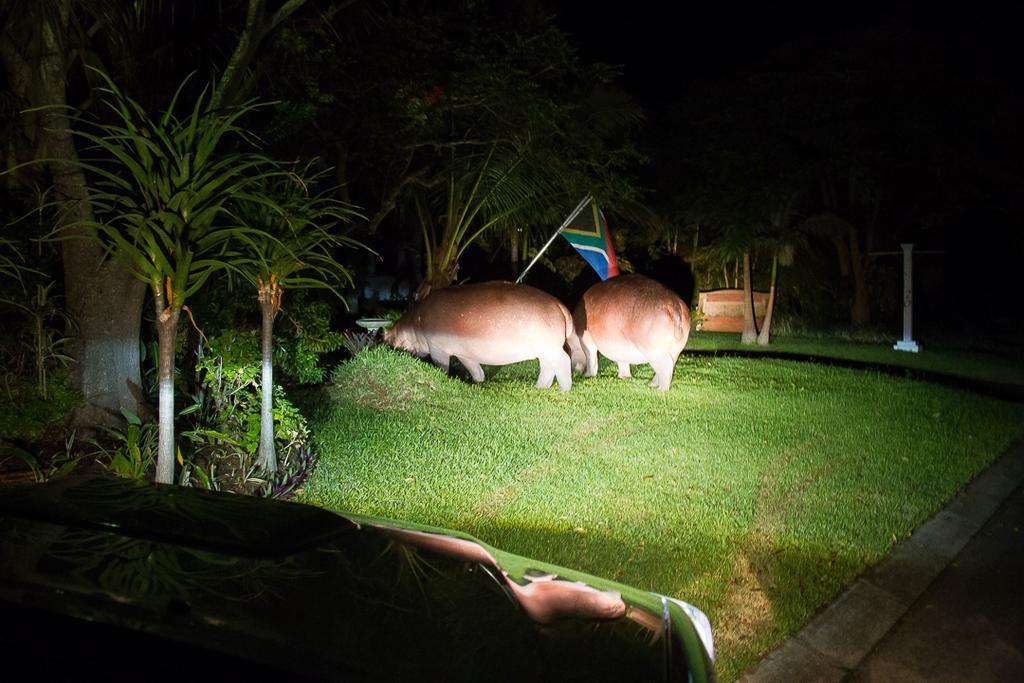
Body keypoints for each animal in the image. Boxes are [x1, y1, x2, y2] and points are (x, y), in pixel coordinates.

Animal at [382, 282, 585, 389]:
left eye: (404, 313)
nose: (384, 332)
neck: (417, 319)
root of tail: (560, 304)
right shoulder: (464, 354)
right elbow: (475, 368)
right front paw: (478, 382)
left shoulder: (438, 348)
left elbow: (442, 366)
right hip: (544, 352)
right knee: (548, 368)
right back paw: (539, 387)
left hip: (550, 349)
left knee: (563, 362)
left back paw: (564, 389)